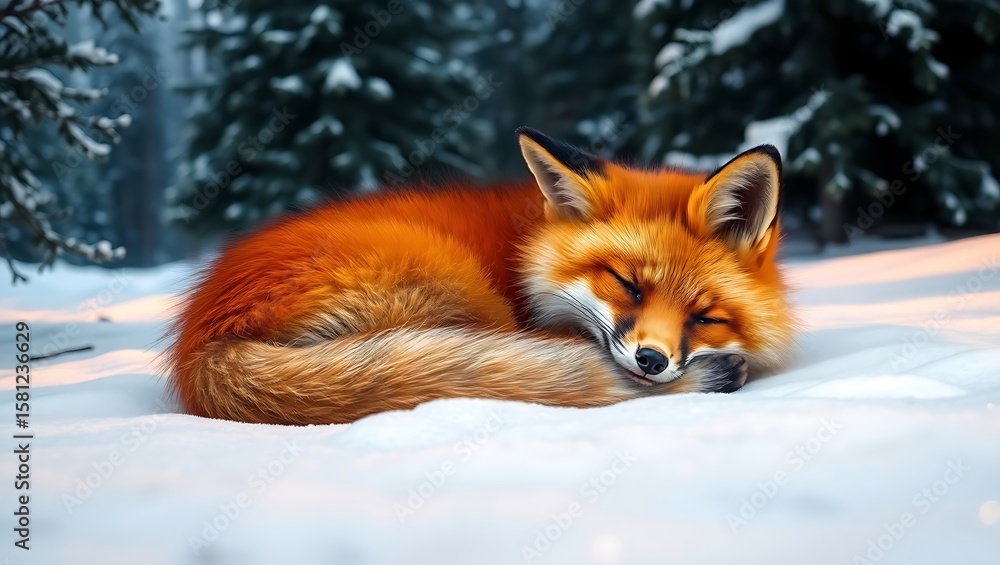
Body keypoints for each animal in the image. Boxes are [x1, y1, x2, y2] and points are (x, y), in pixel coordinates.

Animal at [166, 127, 795, 425]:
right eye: (626, 284)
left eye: (705, 316)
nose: (651, 361)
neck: (527, 246)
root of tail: (203, 340)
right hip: (457, 287)